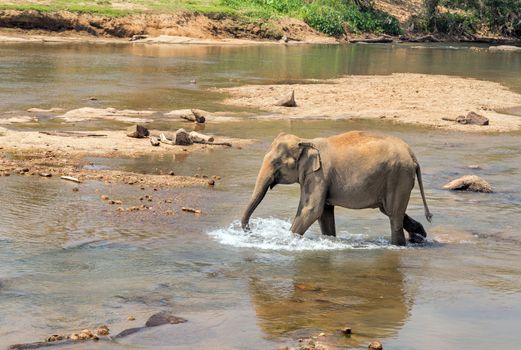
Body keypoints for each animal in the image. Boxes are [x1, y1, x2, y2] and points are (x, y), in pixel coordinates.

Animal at [242, 131, 432, 246]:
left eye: (276, 163)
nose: (250, 229)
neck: (305, 141)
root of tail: (411, 154)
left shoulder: (318, 175)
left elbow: (311, 210)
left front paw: (285, 241)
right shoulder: (320, 178)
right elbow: (324, 213)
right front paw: (329, 240)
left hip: (398, 176)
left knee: (393, 216)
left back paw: (399, 245)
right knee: (389, 210)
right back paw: (419, 235)